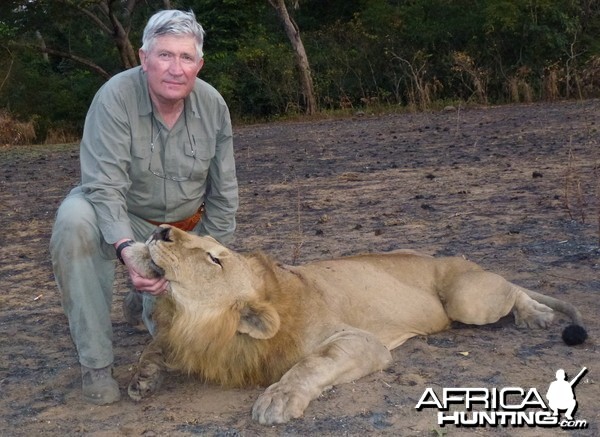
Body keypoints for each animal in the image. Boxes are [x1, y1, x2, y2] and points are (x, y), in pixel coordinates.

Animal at [125, 225, 584, 422]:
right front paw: (142, 377)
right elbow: (156, 345)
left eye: (214, 257)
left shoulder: (361, 342)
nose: (162, 229)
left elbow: (310, 365)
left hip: (466, 298)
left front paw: (277, 400)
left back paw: (536, 315)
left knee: (513, 287)